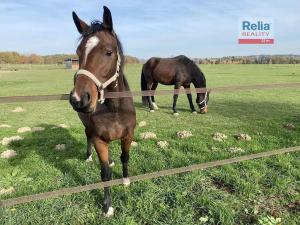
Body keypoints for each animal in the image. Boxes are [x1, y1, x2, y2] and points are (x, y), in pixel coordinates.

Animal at [69, 6, 136, 217]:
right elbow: (105, 173)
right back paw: (89, 156)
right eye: (78, 52)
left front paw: (126, 181)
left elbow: (125, 158)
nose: (78, 99)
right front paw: (108, 207)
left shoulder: (128, 135)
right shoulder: (99, 139)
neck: (114, 109)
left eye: (109, 52)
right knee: (88, 135)